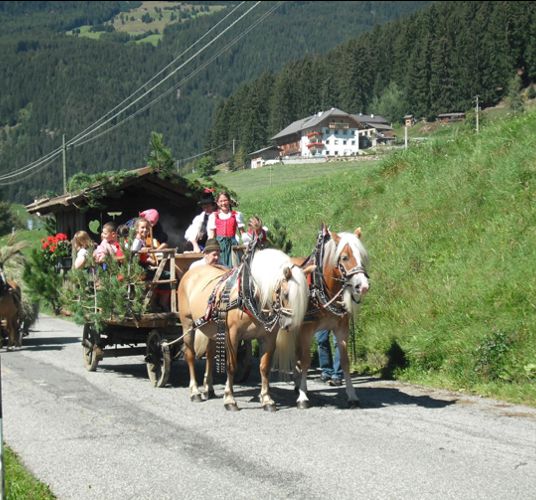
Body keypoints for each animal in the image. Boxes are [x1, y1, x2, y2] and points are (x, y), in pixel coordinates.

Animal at [178, 248, 312, 412]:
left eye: (306, 296)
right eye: (286, 294)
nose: (290, 325)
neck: (249, 296)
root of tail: (191, 271)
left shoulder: (268, 337)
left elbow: (264, 367)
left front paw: (267, 399)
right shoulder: (232, 335)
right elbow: (231, 365)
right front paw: (229, 399)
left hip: (213, 329)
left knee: (209, 355)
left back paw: (208, 388)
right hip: (188, 324)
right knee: (190, 355)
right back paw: (195, 391)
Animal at [292, 225, 370, 408]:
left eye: (362, 256)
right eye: (345, 257)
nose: (363, 286)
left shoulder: (342, 329)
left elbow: (345, 361)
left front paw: (352, 395)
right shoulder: (306, 330)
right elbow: (305, 361)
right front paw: (303, 397)